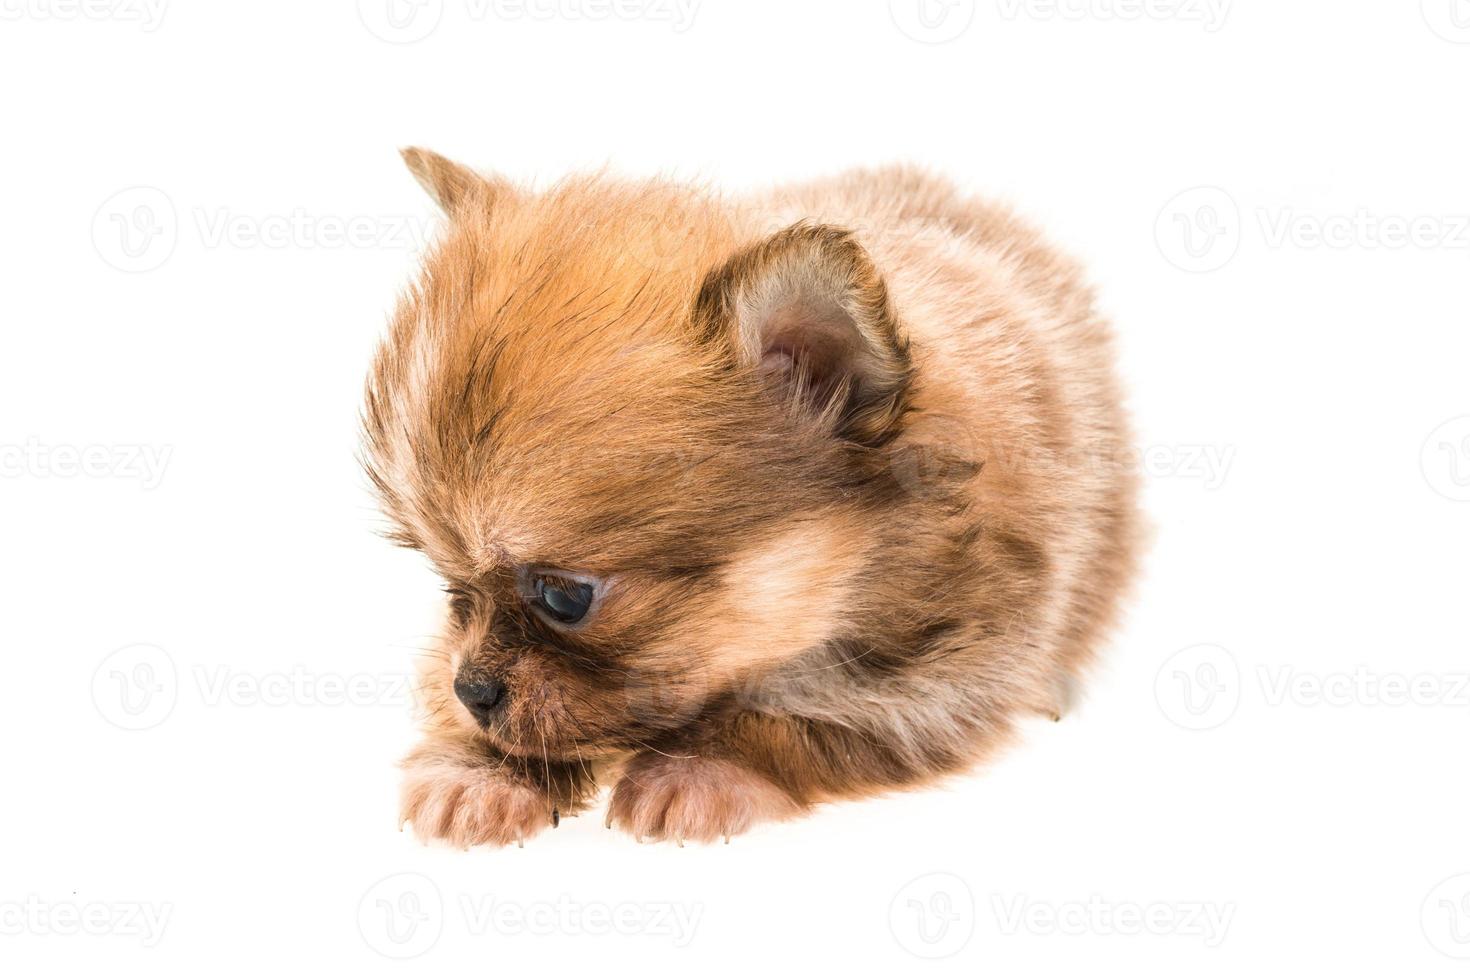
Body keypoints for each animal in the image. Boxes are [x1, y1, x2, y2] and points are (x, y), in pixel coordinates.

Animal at [361, 149, 1140, 846]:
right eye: (449, 582)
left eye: (564, 596)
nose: (472, 690)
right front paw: (482, 770)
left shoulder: (950, 674)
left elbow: (803, 716)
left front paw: (703, 767)